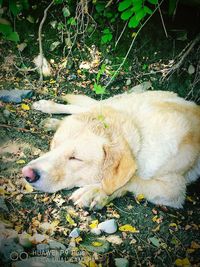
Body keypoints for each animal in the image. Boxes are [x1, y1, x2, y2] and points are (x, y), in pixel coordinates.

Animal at [22, 91, 200, 210]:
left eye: (75, 158)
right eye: (54, 145)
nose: (27, 173)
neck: (137, 128)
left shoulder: (174, 191)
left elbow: (131, 180)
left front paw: (96, 192)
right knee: (84, 106)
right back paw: (49, 110)